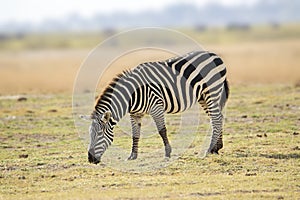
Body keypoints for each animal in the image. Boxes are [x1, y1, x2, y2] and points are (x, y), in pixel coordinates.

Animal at [87, 50, 230, 164]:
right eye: (90, 134)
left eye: (99, 134)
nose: (90, 159)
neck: (132, 96)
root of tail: (214, 55)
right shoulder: (135, 114)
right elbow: (135, 134)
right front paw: (133, 156)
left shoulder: (156, 107)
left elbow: (162, 131)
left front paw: (167, 153)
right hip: (203, 97)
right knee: (217, 117)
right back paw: (216, 148)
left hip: (212, 92)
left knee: (216, 118)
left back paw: (210, 149)